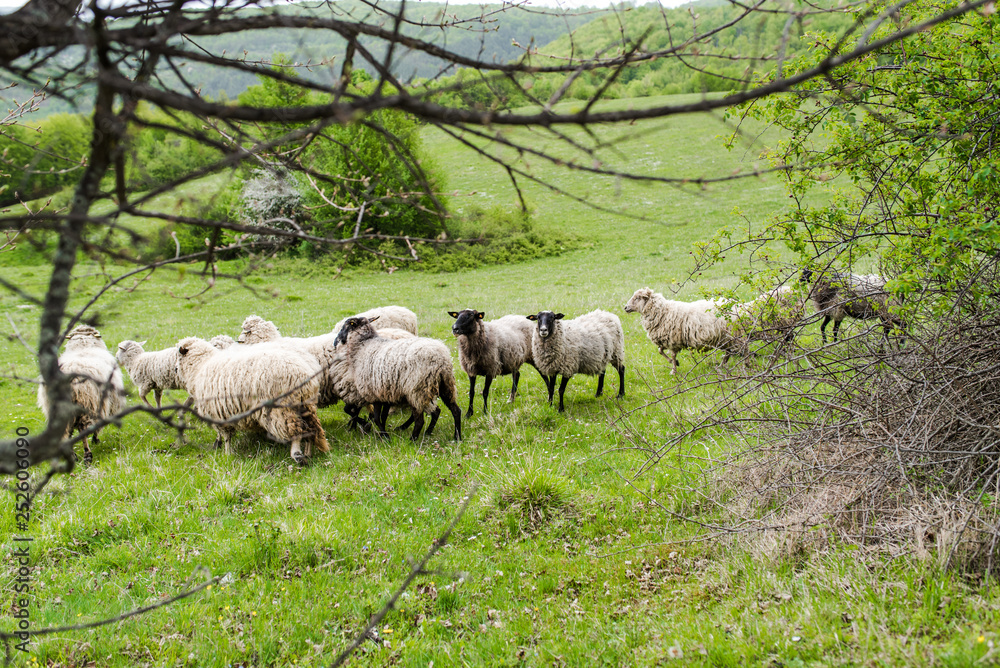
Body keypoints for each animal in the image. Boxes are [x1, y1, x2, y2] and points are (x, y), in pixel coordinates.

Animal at [37, 325, 125, 464]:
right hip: (85, 405)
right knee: (83, 429)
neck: (83, 347)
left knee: (65, 432)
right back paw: (87, 455)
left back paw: (72, 455)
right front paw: (96, 440)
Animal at [175, 336, 329, 465]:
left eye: (177, 360)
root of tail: (304, 373)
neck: (199, 367)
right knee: (312, 429)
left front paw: (227, 453)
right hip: (306, 404)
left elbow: (226, 436)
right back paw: (308, 453)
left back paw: (297, 455)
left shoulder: (219, 414)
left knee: (296, 430)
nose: (175, 369)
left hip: (281, 409)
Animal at [333, 316, 462, 441]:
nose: (335, 342)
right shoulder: (386, 394)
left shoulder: (374, 394)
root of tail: (441, 359)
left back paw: (412, 440)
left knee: (420, 420)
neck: (363, 345)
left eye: (345, 326)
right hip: (446, 385)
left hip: (417, 390)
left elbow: (377, 418)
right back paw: (455, 436)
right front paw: (382, 434)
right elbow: (383, 417)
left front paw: (385, 436)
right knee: (455, 411)